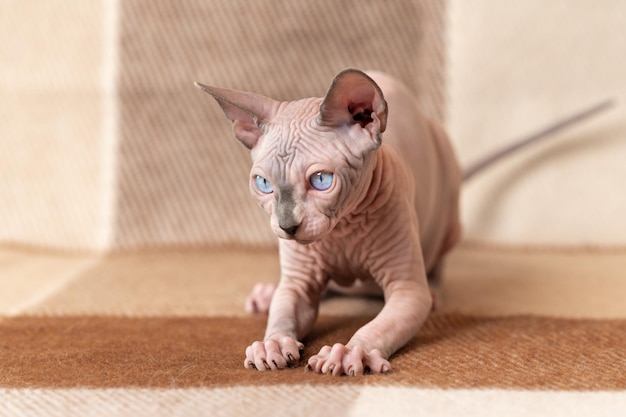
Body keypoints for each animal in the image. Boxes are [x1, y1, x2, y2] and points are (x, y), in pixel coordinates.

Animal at [197, 67, 612, 374]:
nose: (286, 227)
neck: (343, 230)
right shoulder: (299, 283)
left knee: (438, 260)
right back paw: (267, 295)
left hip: (449, 212)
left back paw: (437, 290)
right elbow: (287, 308)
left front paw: (351, 353)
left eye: (321, 180)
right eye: (263, 184)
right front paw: (271, 343)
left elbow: (382, 323)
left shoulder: (407, 291)